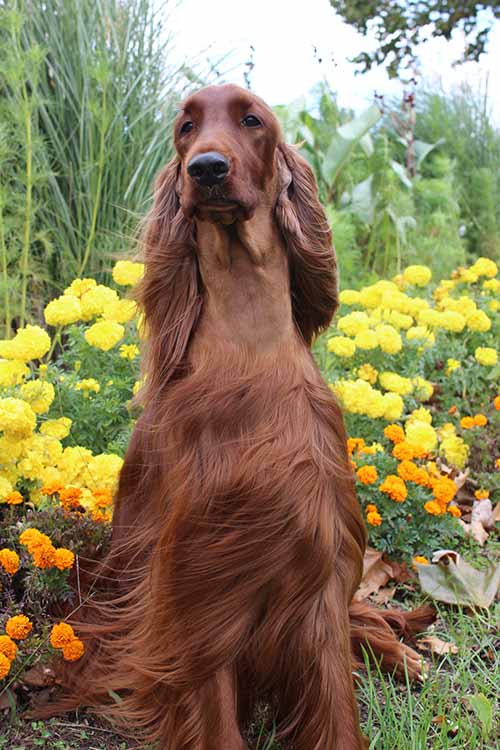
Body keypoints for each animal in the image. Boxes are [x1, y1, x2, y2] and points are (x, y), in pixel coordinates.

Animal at [51, 83, 434, 750]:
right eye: (185, 127)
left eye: (252, 120)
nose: (206, 168)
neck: (249, 352)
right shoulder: (198, 595)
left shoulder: (317, 581)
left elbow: (336, 698)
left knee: (362, 618)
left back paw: (403, 654)